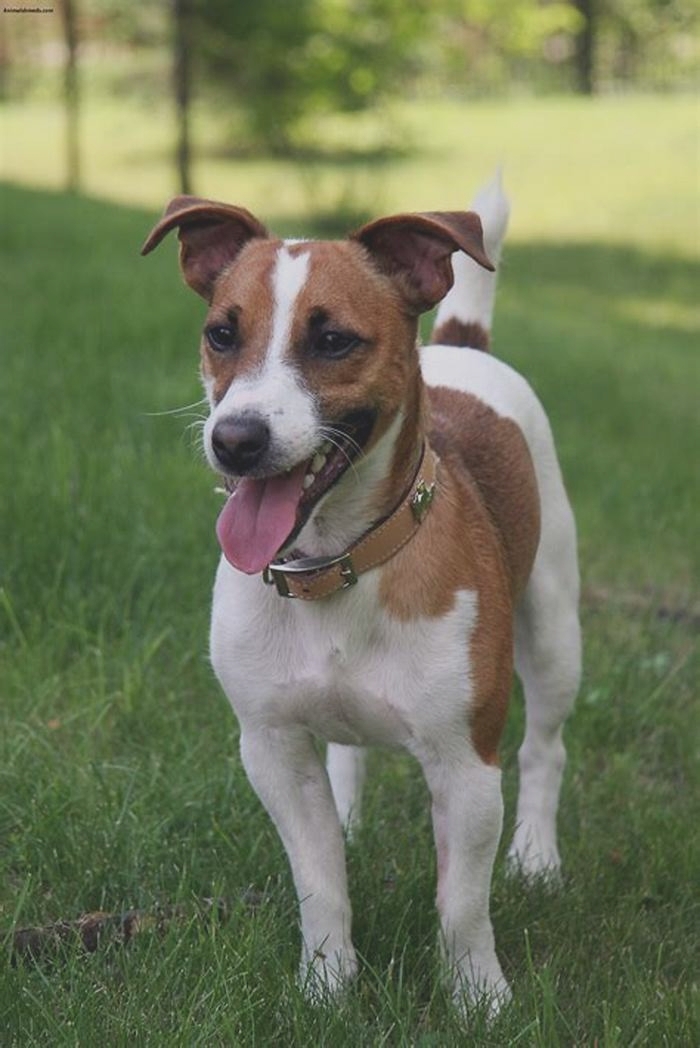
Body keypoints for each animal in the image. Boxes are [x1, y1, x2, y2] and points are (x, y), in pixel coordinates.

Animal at [140, 173, 578, 1014]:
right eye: (221, 334)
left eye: (334, 341)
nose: (234, 440)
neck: (338, 565)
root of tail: (462, 343)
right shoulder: (272, 747)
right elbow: (319, 882)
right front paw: (326, 982)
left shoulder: (466, 766)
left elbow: (462, 903)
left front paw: (479, 996)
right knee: (347, 757)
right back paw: (348, 817)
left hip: (554, 632)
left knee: (546, 747)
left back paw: (537, 856)